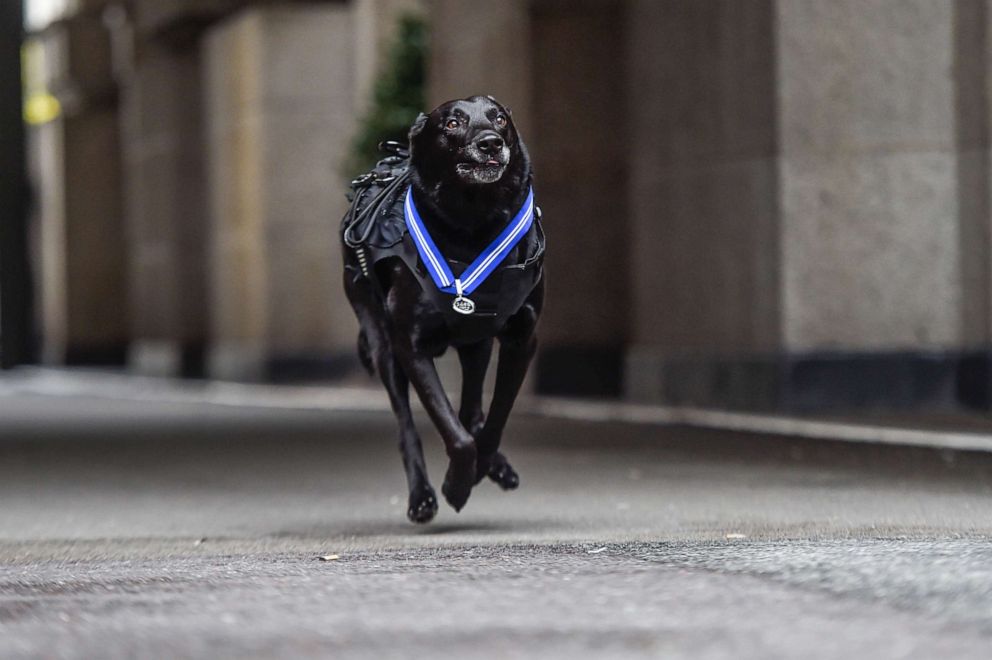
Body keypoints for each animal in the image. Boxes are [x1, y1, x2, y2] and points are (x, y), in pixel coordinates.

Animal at [340, 95, 544, 524]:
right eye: (452, 123)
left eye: (500, 118)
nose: (490, 142)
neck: (475, 224)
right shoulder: (411, 346)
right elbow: (455, 433)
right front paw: (456, 486)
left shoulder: (523, 339)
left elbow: (494, 417)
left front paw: (482, 467)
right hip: (382, 345)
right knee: (408, 428)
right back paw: (422, 497)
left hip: (475, 347)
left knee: (473, 410)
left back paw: (495, 466)